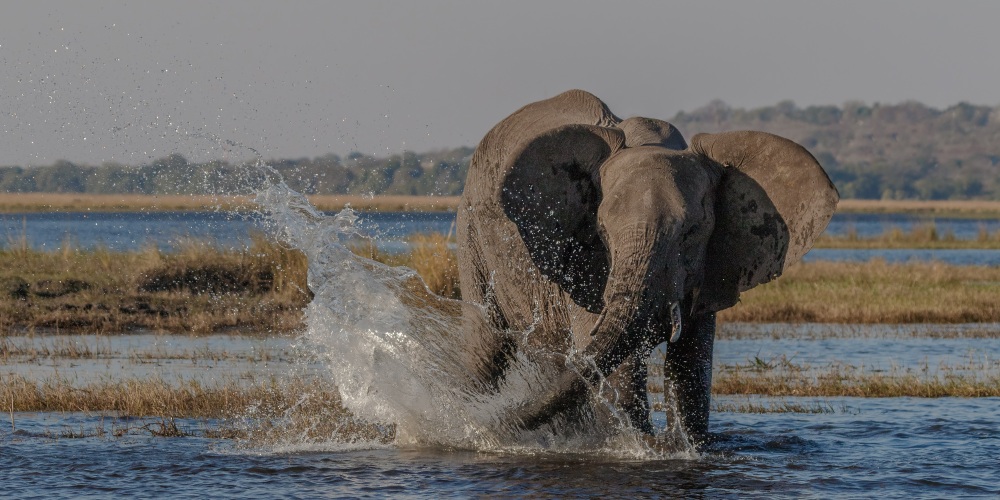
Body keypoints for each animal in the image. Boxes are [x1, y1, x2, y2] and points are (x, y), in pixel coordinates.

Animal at [458, 90, 840, 442]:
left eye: (692, 231)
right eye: (602, 230)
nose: (487, 428)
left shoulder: (710, 266)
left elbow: (691, 370)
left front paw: (682, 446)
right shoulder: (586, 262)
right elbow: (620, 371)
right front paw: (639, 448)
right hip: (470, 229)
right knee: (485, 346)